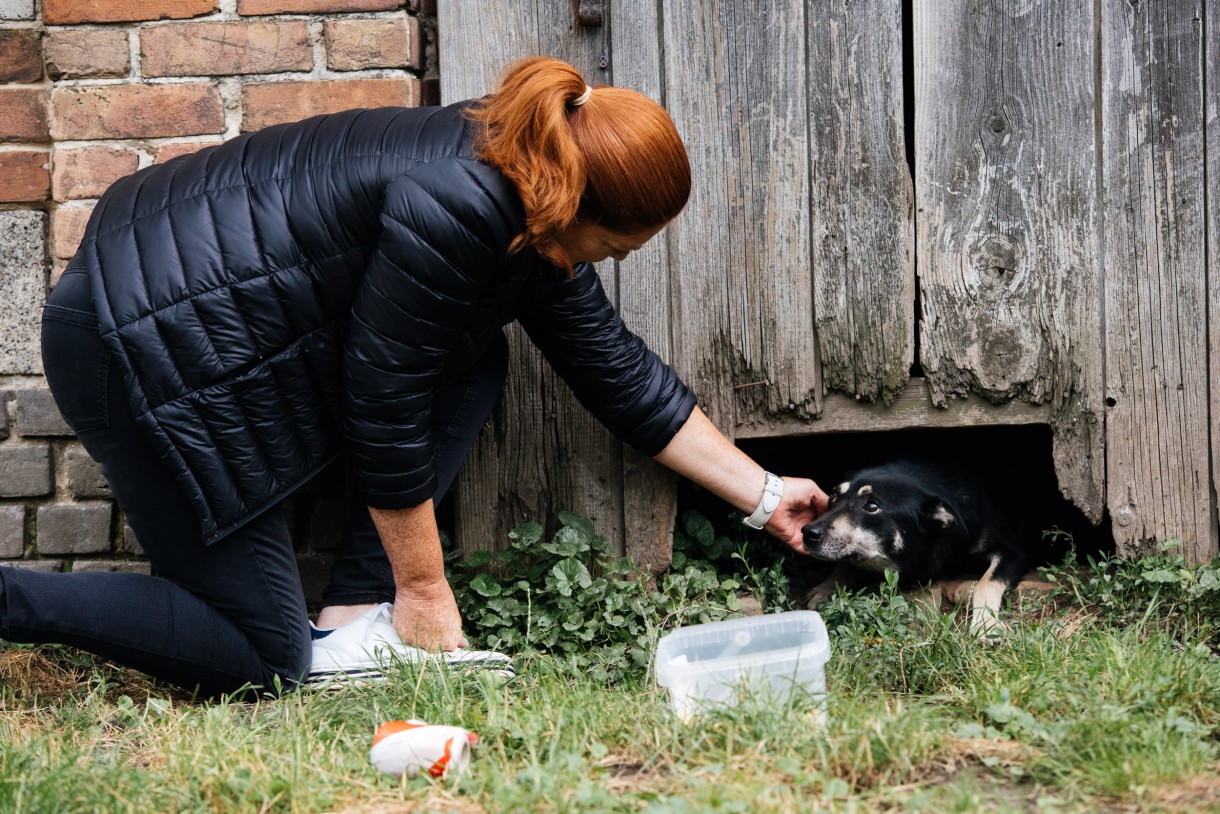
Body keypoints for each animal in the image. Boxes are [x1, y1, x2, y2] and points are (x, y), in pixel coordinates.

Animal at [800, 461, 1029, 639]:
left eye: (872, 507)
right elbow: (845, 562)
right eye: (833, 496)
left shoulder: (1014, 552)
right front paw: (827, 587)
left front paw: (986, 624)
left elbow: (985, 584)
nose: (807, 532)